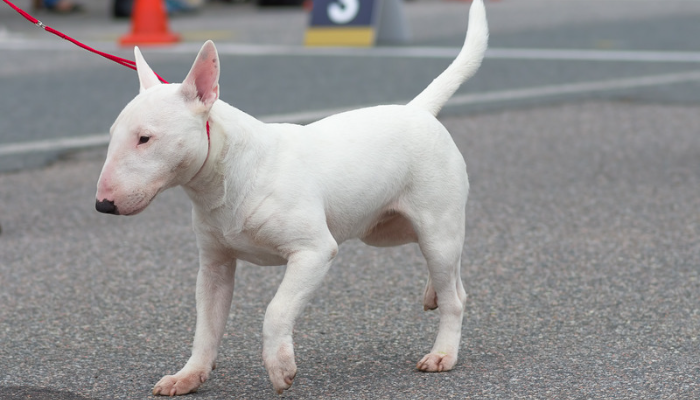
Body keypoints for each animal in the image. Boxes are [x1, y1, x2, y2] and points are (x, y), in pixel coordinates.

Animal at [94, 0, 486, 394]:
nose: (102, 204)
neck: (228, 173)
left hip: (435, 223)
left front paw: (280, 367)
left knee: (453, 291)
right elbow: (206, 325)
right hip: (384, 230)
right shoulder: (215, 266)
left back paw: (443, 352)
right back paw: (434, 293)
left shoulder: (314, 252)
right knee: (451, 275)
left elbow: (276, 309)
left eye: (145, 138)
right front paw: (188, 375)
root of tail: (418, 110)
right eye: (112, 134)